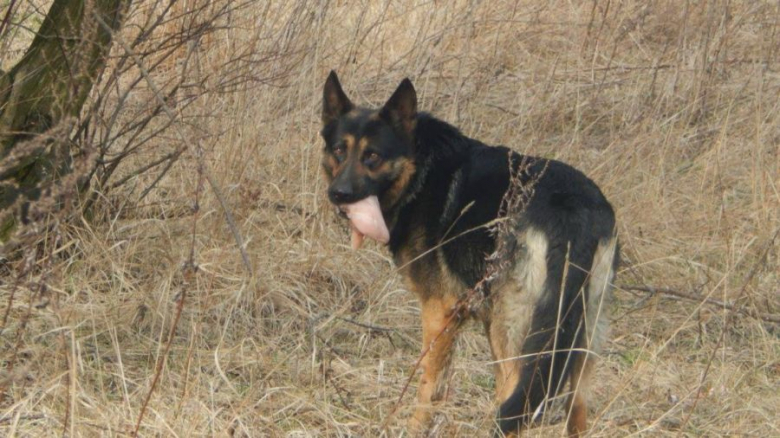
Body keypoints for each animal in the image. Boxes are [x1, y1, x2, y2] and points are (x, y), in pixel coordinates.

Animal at [320, 71, 620, 434]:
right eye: (339, 150)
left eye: (373, 156)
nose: (338, 194)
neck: (419, 169)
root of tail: (575, 212)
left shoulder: (439, 312)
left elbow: (429, 385)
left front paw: (416, 427)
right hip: (580, 336)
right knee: (571, 405)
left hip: (518, 330)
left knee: (517, 395)